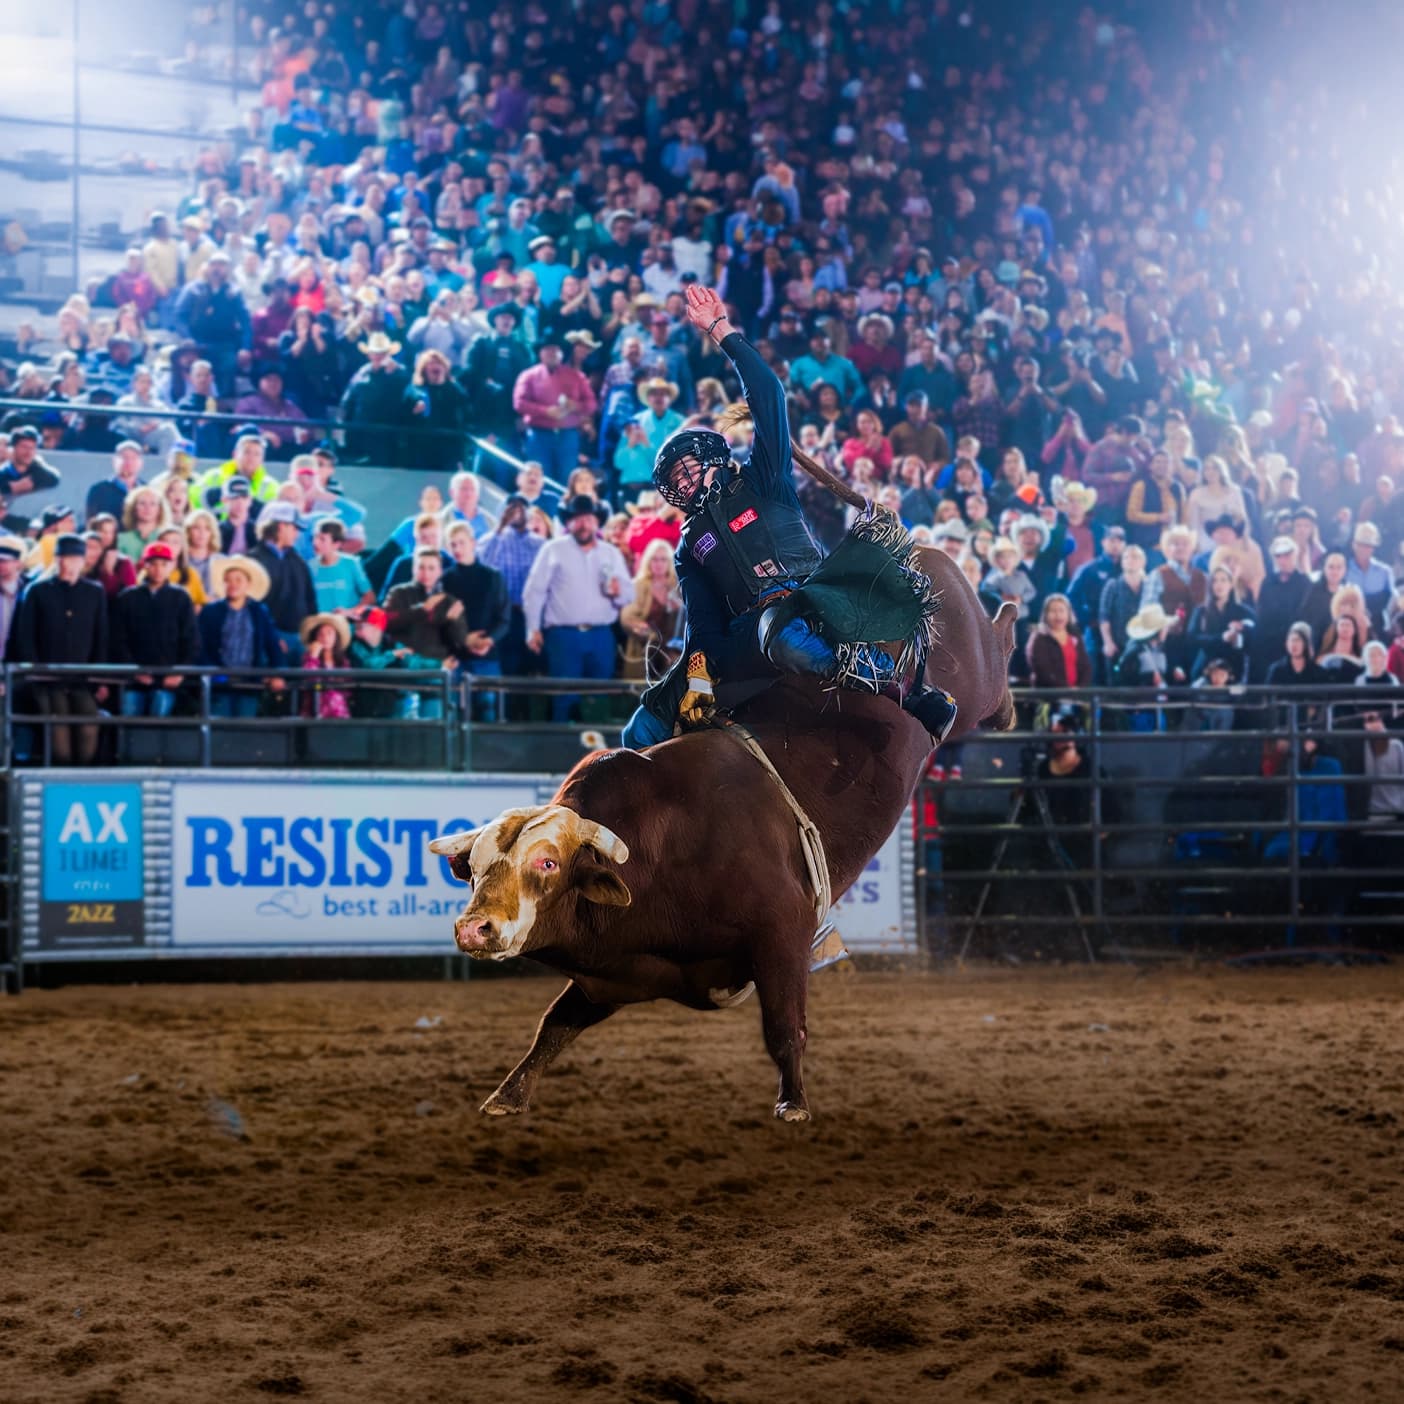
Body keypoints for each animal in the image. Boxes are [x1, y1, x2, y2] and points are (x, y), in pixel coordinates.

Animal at [429, 547, 1016, 1122]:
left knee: (991, 659)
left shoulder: (783, 931)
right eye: (474, 869)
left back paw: (990, 668)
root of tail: (918, 555)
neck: (655, 854)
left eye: (548, 863)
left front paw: (793, 1104)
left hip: (972, 668)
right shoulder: (611, 978)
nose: (475, 928)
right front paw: (507, 1095)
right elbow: (553, 1024)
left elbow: (784, 1027)